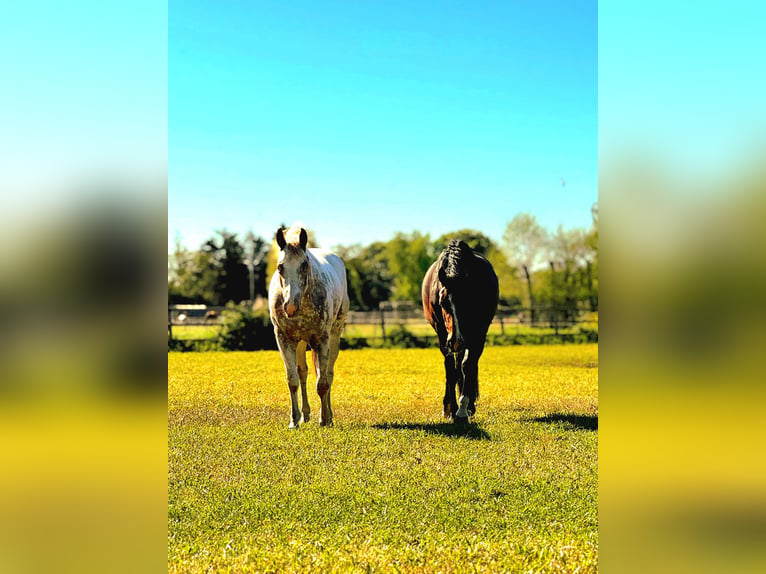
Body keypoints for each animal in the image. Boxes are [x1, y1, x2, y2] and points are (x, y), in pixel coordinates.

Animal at [268, 226, 350, 428]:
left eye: (305, 265)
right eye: (280, 266)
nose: (290, 306)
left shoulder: (322, 340)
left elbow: (322, 382)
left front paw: (324, 419)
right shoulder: (284, 339)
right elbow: (293, 380)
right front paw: (294, 420)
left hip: (334, 336)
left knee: (328, 374)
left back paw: (329, 416)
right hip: (300, 343)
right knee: (303, 373)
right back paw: (305, 415)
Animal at [422, 240, 499, 423]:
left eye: (467, 301)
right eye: (442, 303)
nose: (455, 341)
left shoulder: (479, 334)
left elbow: (468, 366)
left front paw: (463, 409)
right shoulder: (443, 336)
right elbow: (451, 369)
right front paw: (450, 409)